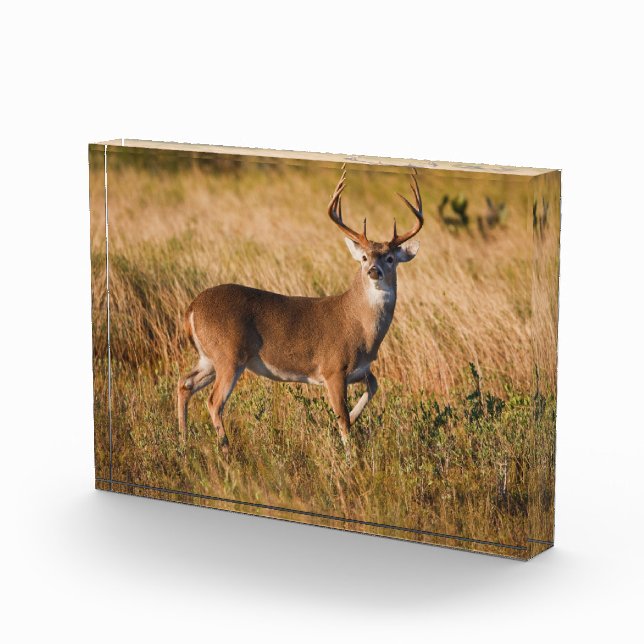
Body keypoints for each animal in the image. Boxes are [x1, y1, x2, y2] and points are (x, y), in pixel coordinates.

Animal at [177, 168, 424, 454]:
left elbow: (372, 387)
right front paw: (351, 456)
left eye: (390, 258)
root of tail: (191, 309)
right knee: (214, 401)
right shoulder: (333, 368)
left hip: (208, 357)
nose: (374, 271)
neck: (362, 328)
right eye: (364, 258)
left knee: (185, 384)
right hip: (229, 355)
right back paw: (226, 450)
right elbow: (342, 418)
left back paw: (183, 442)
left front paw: (353, 420)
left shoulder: (360, 370)